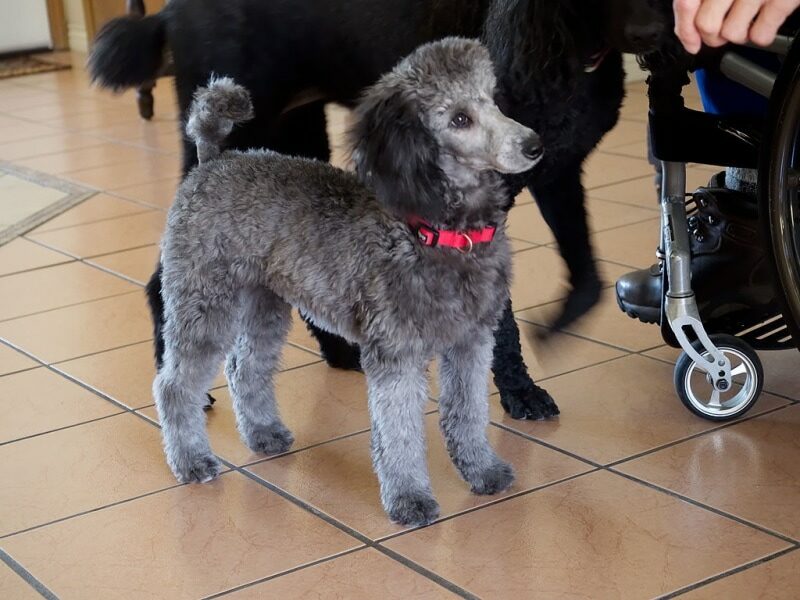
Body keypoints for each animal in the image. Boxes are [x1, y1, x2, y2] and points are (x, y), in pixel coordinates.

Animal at [90, 0, 672, 420]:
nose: (651, 33)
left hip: (293, 138)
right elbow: (505, 319)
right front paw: (519, 390)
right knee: (162, 281)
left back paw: (339, 351)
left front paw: (556, 328)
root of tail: (169, 10)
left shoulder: (557, 172)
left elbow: (587, 276)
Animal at [155, 37, 540, 524]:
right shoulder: (395, 356)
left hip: (262, 303)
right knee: (175, 386)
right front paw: (409, 498)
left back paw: (263, 433)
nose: (534, 144)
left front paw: (482, 470)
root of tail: (214, 159)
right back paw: (191, 460)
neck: (441, 232)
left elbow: (468, 413)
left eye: (493, 99)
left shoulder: (471, 342)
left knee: (246, 368)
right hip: (204, 301)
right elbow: (399, 434)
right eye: (459, 119)